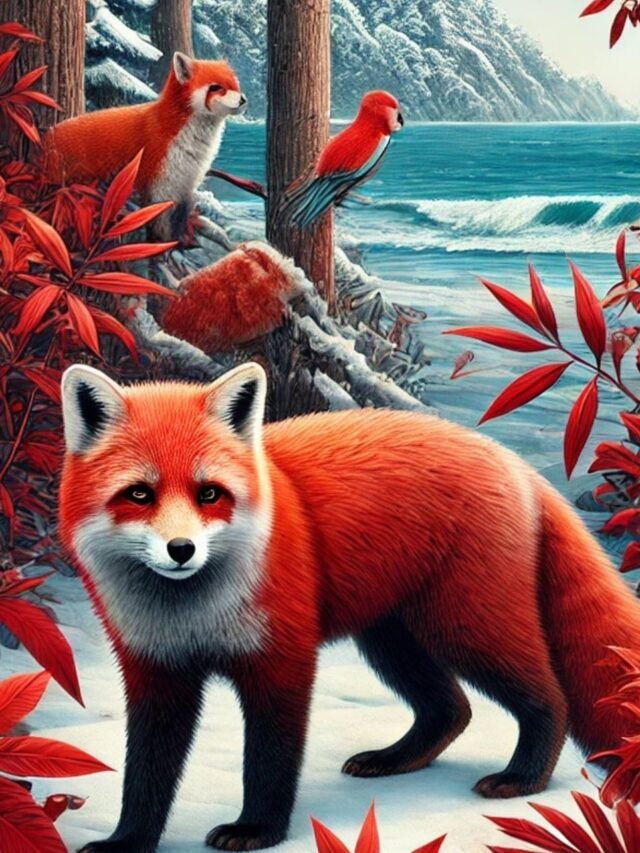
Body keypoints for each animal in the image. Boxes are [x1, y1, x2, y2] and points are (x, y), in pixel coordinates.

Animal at [45, 52, 246, 238]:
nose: (243, 99)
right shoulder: (158, 188)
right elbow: (161, 227)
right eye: (216, 87)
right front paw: (164, 248)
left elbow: (180, 223)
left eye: (235, 85)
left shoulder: (185, 187)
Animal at [59, 362, 640, 853]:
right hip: (391, 639)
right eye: (139, 494)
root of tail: (510, 460)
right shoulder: (156, 670)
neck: (193, 617)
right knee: (451, 708)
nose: (182, 549)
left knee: (549, 697)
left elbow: (269, 760)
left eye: (209, 493)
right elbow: (146, 775)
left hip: (467, 627)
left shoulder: (283, 658)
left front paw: (258, 830)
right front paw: (127, 842)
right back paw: (395, 759)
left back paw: (524, 777)